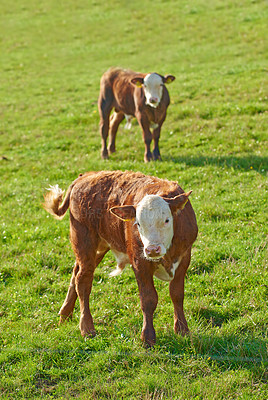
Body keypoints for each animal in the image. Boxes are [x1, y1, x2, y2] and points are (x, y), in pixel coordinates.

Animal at [44, 170, 198, 346]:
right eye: (138, 223)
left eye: (166, 220)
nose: (152, 249)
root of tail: (85, 176)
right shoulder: (139, 261)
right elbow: (148, 299)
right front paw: (148, 337)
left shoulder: (185, 257)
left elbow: (177, 294)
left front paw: (182, 330)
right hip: (84, 241)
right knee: (83, 280)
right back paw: (87, 328)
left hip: (98, 247)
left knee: (75, 274)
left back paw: (65, 313)